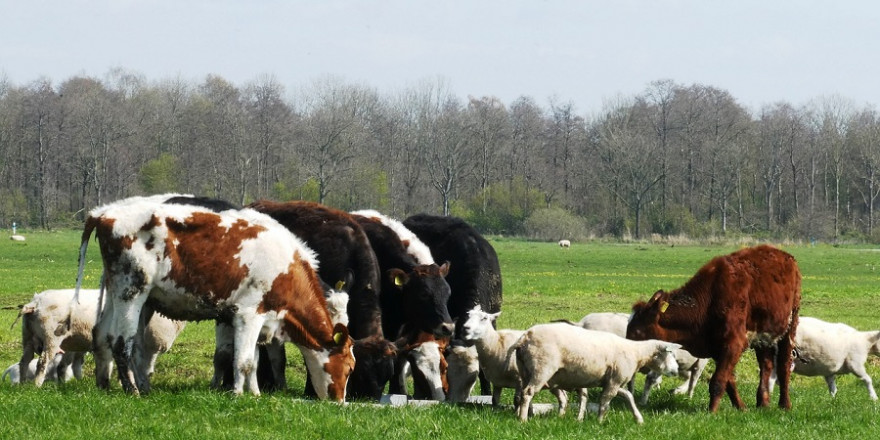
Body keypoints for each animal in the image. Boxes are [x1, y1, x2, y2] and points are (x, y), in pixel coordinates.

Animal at [15, 290, 186, 386]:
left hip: (28, 337)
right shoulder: (149, 344)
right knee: (43, 362)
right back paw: (37, 385)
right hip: (51, 337)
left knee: (24, 361)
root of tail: (35, 303)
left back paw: (23, 384)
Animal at [75, 194, 356, 400]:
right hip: (131, 291)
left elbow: (253, 360)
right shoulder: (248, 314)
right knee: (122, 342)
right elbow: (243, 361)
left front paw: (254, 393)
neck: (286, 266)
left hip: (121, 294)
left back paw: (111, 384)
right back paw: (132, 390)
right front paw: (238, 395)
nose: (339, 401)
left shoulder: (258, 319)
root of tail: (103, 213)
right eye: (349, 367)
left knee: (107, 336)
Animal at [516, 324, 680, 422]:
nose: (676, 370)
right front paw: (600, 421)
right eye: (670, 354)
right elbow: (605, 402)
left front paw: (638, 418)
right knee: (528, 393)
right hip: (542, 368)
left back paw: (522, 415)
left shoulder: (612, 381)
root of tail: (525, 337)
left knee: (521, 394)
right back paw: (523, 420)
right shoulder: (614, 381)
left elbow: (628, 396)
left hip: (526, 371)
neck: (636, 353)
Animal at [624, 244, 800, 412]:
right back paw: (763, 403)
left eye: (637, 331)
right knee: (766, 365)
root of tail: (787, 257)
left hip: (790, 326)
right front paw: (741, 407)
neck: (708, 301)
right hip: (763, 336)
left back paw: (785, 404)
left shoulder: (734, 343)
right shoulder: (716, 348)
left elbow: (718, 380)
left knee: (784, 366)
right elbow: (729, 381)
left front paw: (712, 411)